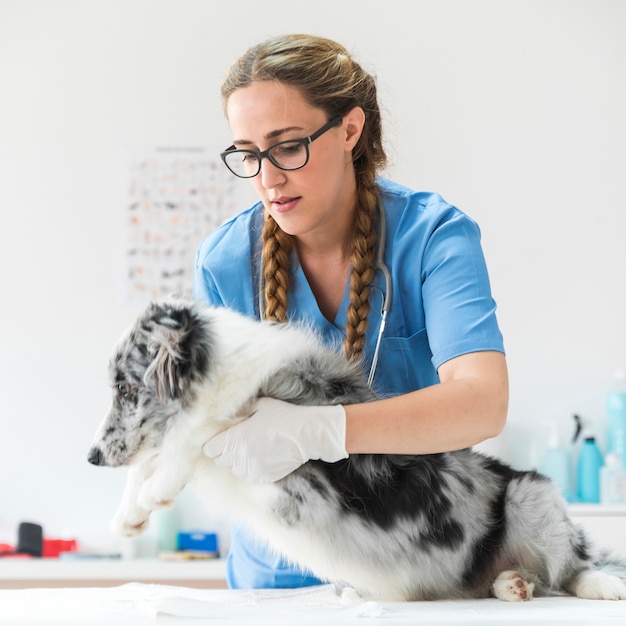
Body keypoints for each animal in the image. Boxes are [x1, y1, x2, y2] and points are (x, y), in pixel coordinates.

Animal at [88, 296, 624, 600]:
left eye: (127, 390)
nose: (91, 457)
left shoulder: (303, 494)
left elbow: (201, 442)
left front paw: (158, 486)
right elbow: (161, 455)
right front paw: (129, 515)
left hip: (531, 495)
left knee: (572, 566)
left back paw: (600, 585)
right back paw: (511, 584)